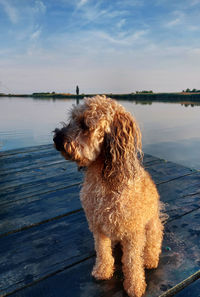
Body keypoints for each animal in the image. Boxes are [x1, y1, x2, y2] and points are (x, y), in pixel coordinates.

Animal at [53, 95, 164, 296]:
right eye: (72, 118)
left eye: (85, 124)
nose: (56, 138)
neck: (103, 178)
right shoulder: (97, 226)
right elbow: (103, 251)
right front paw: (102, 271)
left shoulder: (134, 232)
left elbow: (132, 261)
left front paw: (134, 285)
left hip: (152, 226)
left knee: (154, 243)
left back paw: (150, 259)